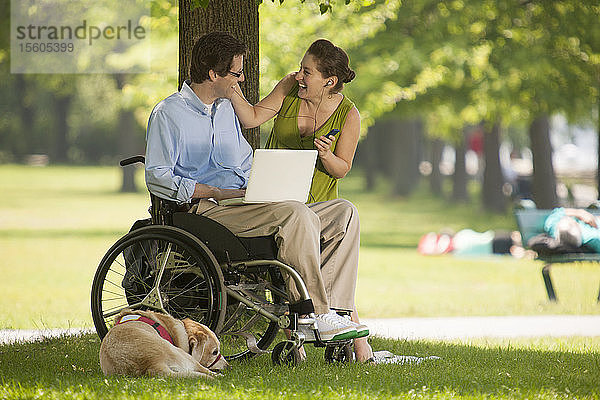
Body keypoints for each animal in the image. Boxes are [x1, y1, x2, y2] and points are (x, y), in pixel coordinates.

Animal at [99, 310, 229, 378]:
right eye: (215, 352)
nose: (229, 366)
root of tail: (152, 365)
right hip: (180, 353)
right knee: (205, 371)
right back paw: (220, 376)